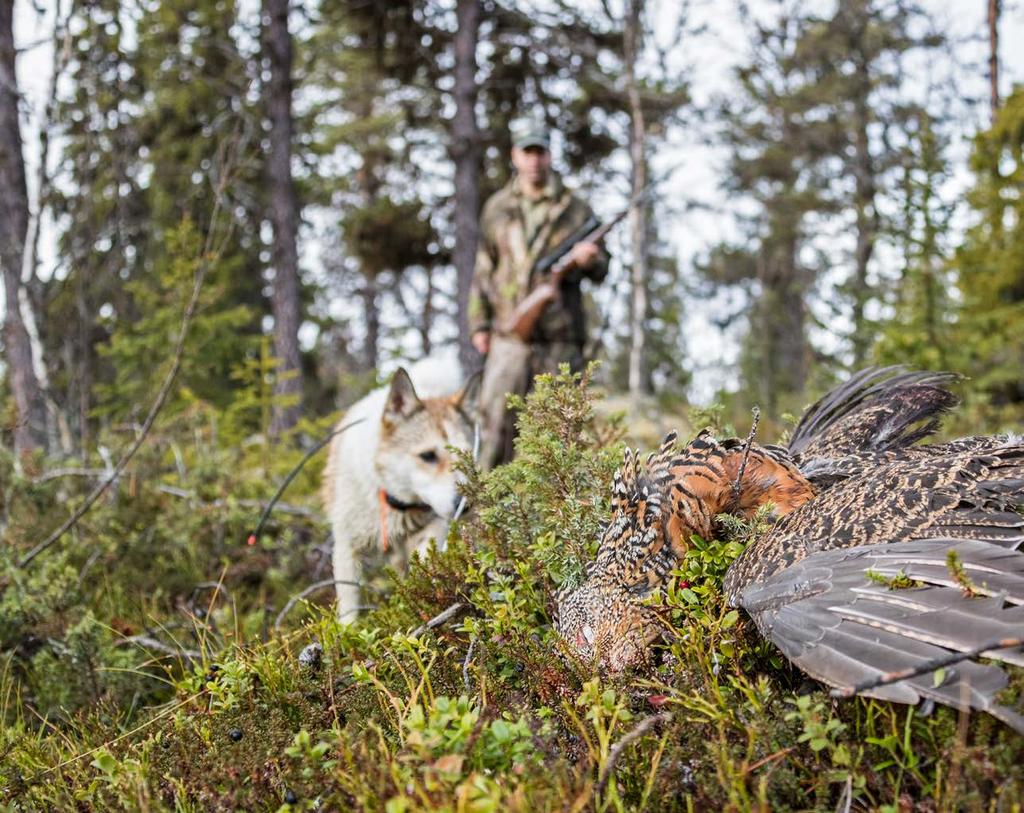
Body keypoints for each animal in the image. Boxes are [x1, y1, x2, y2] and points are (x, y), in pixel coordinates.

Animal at [321, 358, 481, 618]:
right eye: (427, 456)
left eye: (465, 456)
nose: (464, 505)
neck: (394, 500)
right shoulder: (346, 548)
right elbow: (349, 607)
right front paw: (349, 629)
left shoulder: (432, 528)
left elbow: (426, 565)